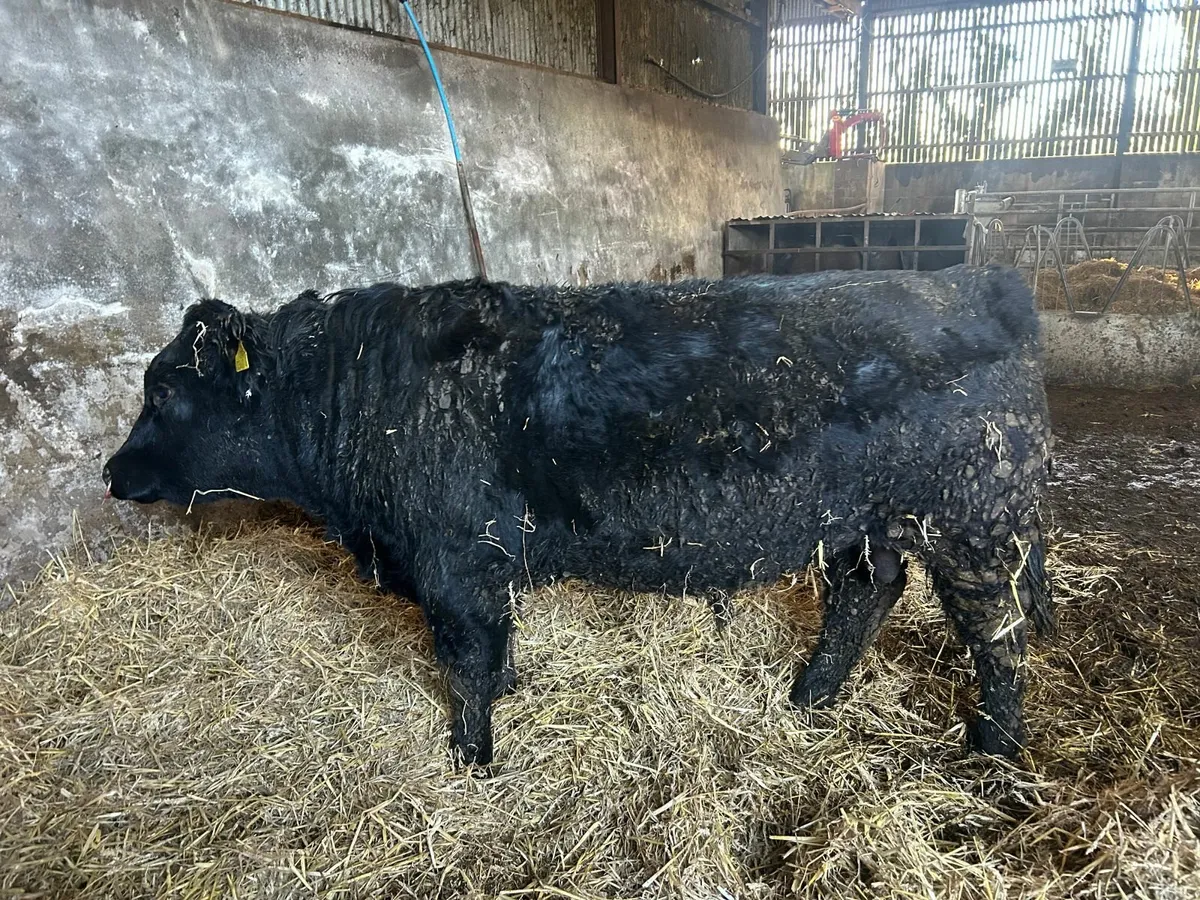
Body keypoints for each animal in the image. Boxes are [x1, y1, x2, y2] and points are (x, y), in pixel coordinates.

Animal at [104, 266, 1054, 766]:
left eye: (165, 391)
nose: (111, 473)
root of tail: (974, 280)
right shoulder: (481, 565)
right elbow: (494, 648)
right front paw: (506, 700)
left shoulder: (456, 562)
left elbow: (466, 661)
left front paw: (472, 757)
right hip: (867, 520)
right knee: (868, 592)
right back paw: (809, 696)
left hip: (974, 520)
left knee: (996, 635)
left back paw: (994, 753)